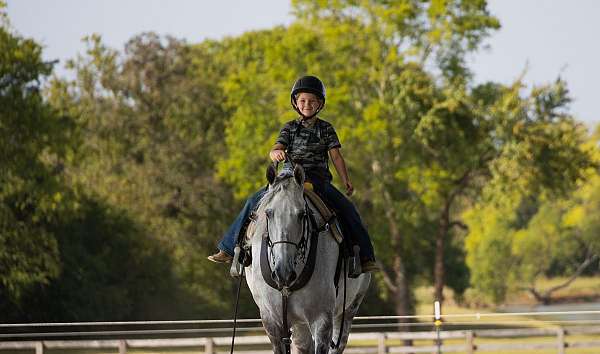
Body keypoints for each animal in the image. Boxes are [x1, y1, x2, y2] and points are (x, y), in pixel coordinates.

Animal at [244, 165, 370, 354]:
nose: (283, 272)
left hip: (348, 311)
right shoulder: (271, 320)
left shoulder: (322, 319)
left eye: (302, 214)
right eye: (268, 213)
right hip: (298, 323)